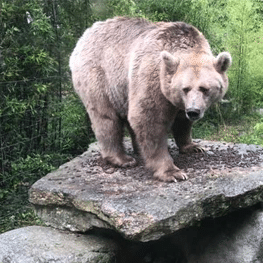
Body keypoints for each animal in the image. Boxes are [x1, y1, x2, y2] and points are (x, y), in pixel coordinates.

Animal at [69, 16, 232, 182]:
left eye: (205, 89)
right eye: (185, 88)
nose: (193, 111)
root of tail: (85, 35)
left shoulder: (177, 99)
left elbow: (182, 122)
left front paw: (193, 146)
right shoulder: (152, 75)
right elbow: (149, 119)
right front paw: (172, 172)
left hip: (124, 89)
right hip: (100, 75)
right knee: (106, 118)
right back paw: (122, 159)